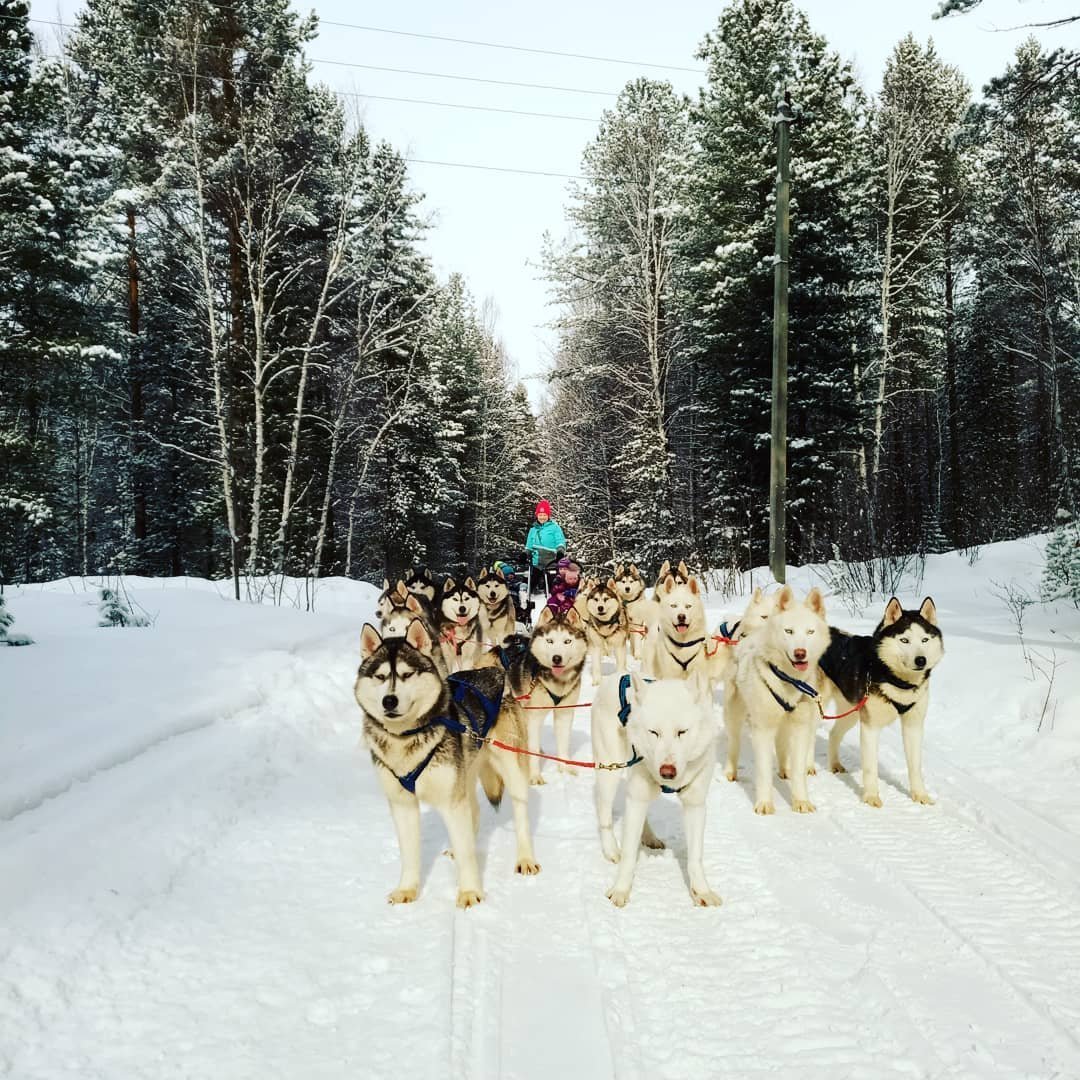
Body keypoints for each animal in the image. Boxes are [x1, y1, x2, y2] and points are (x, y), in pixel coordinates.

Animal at [354, 622, 540, 907]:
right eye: (380, 676)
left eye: (407, 675)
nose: (389, 701)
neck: (405, 737)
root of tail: (494, 671)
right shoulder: (402, 803)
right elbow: (410, 853)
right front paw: (407, 889)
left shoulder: (451, 801)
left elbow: (466, 855)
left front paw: (470, 892)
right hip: (466, 773)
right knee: (474, 812)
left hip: (512, 769)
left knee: (520, 814)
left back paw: (525, 858)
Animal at [501, 609, 587, 786]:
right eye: (550, 641)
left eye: (567, 641)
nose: (556, 658)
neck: (557, 683)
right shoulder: (534, 715)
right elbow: (532, 746)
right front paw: (534, 775)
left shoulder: (565, 713)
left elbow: (563, 743)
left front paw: (565, 769)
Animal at [591, 673, 725, 911]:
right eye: (654, 732)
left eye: (682, 732)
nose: (667, 771)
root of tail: (616, 676)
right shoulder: (636, 796)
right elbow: (629, 855)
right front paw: (621, 889)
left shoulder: (695, 804)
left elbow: (695, 857)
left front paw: (702, 891)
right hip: (609, 772)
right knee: (605, 813)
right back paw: (611, 849)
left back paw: (649, 836)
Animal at [730, 587, 829, 812]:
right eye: (789, 631)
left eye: (810, 632)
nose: (800, 653)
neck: (788, 680)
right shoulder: (762, 730)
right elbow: (764, 770)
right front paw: (764, 803)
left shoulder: (800, 727)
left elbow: (799, 769)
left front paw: (801, 801)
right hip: (735, 712)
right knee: (734, 742)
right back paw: (730, 770)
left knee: (783, 747)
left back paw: (785, 770)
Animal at [825, 596, 946, 807]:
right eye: (904, 640)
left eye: (924, 639)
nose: (921, 660)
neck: (898, 682)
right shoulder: (870, 727)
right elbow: (870, 767)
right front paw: (871, 796)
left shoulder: (913, 726)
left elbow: (915, 766)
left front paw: (920, 794)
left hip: (850, 712)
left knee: (833, 733)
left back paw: (834, 764)